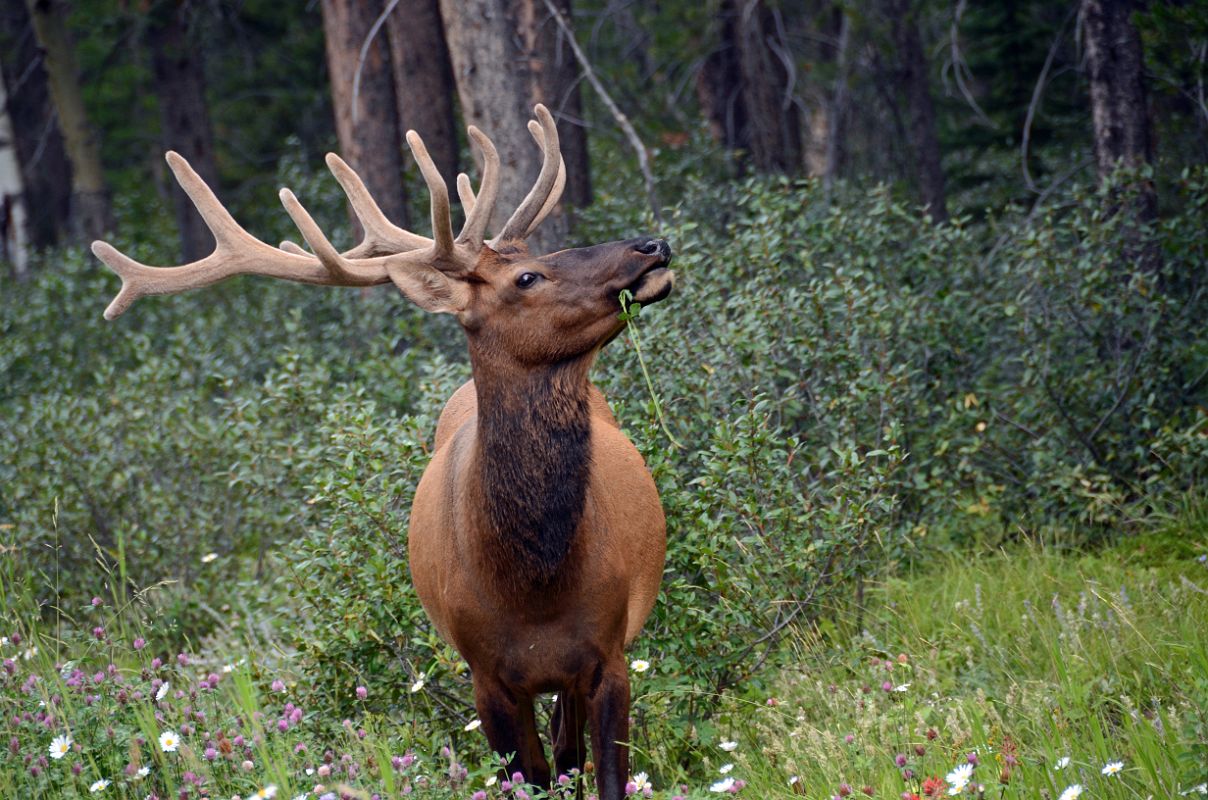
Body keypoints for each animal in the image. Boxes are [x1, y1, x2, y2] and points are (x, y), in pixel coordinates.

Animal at [91, 108, 681, 800]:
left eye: (537, 257)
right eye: (529, 276)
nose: (651, 245)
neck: (533, 583)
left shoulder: (611, 652)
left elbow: (605, 773)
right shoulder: (486, 676)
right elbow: (527, 778)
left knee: (569, 752)